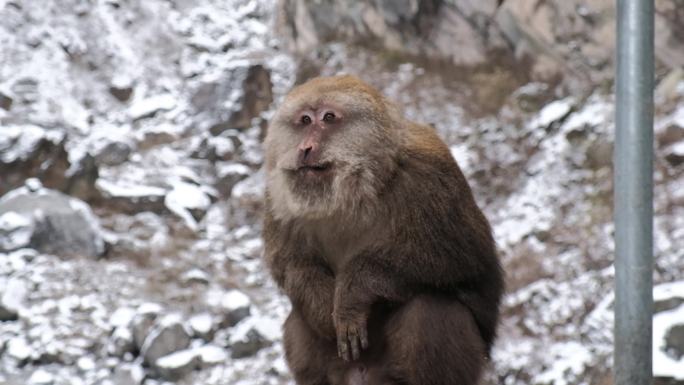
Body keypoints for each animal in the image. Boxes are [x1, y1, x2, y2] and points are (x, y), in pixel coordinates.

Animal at [262, 76, 502, 384]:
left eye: (328, 118)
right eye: (304, 120)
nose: (304, 148)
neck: (354, 188)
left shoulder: (430, 180)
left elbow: (459, 260)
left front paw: (352, 294)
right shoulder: (277, 198)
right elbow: (292, 266)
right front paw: (324, 306)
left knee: (431, 308)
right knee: (299, 321)